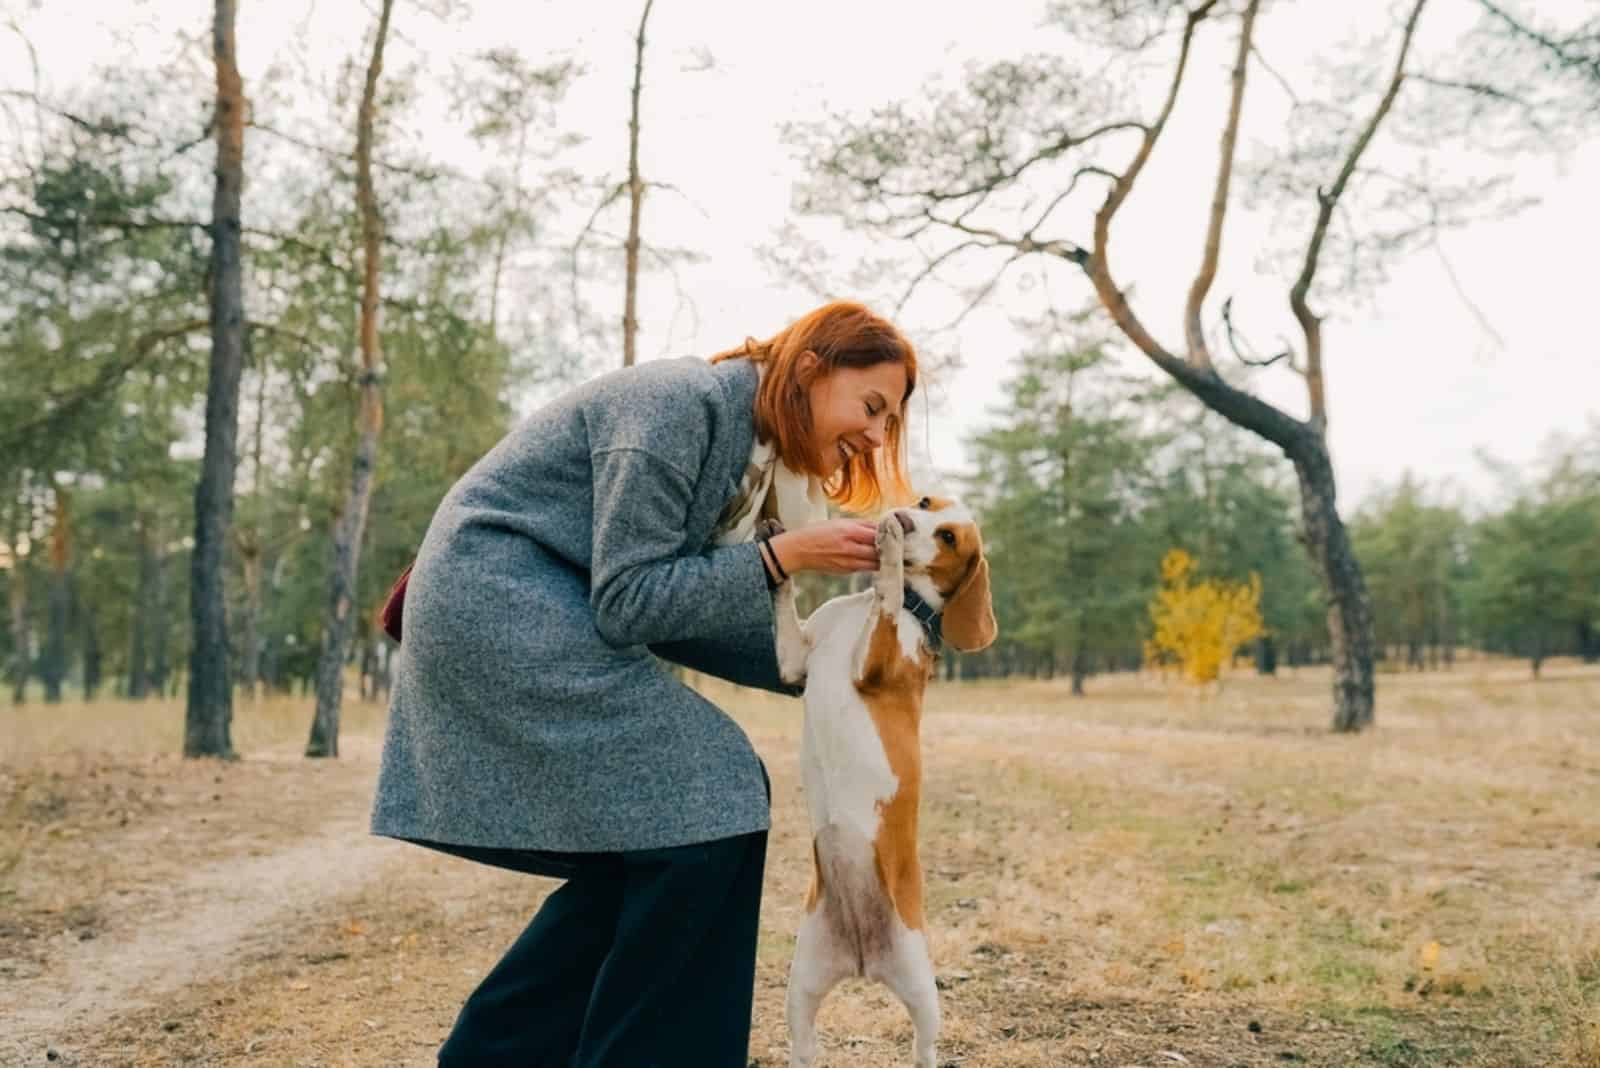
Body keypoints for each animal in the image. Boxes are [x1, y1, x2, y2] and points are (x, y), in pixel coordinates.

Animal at [768, 495, 992, 1061]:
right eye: (927, 502)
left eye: (949, 537)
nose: (906, 517)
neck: (858, 610)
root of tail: (863, 961)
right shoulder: (794, 662)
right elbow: (785, 599)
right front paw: (776, 539)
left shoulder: (874, 663)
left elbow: (888, 594)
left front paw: (889, 555)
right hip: (801, 987)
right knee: (805, 1048)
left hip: (923, 991)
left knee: (924, 1049)